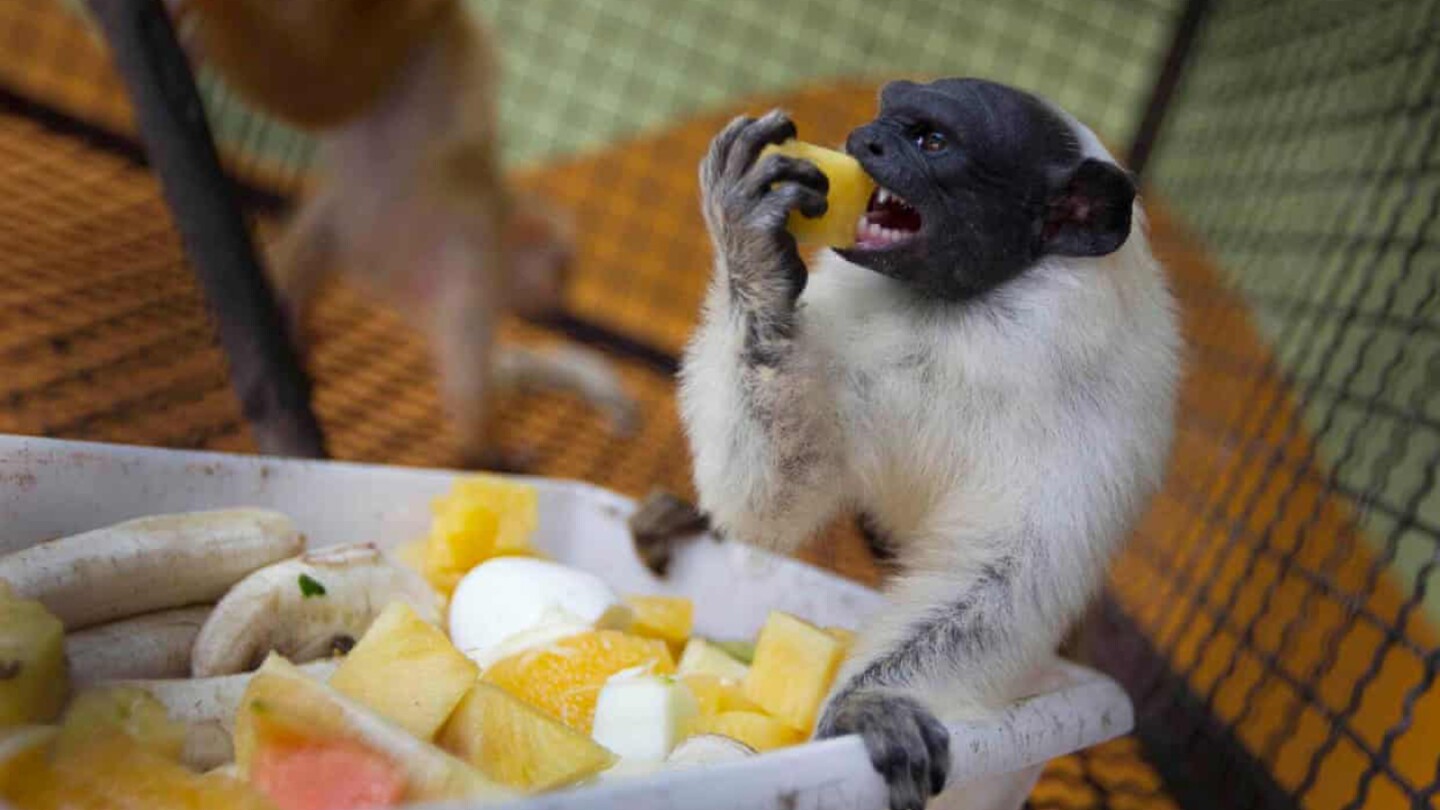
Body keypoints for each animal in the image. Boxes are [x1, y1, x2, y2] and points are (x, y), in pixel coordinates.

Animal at [165, 0, 638, 467]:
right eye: (563, 269)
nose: (561, 295)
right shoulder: (473, 268)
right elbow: (467, 387)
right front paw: (492, 453)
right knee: (321, 87)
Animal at [682, 79, 1179, 810]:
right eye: (887, 113)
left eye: (932, 141)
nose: (866, 139)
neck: (955, 318)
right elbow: (770, 503)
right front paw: (752, 255)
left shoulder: (1088, 426)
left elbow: (1008, 579)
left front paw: (868, 705)